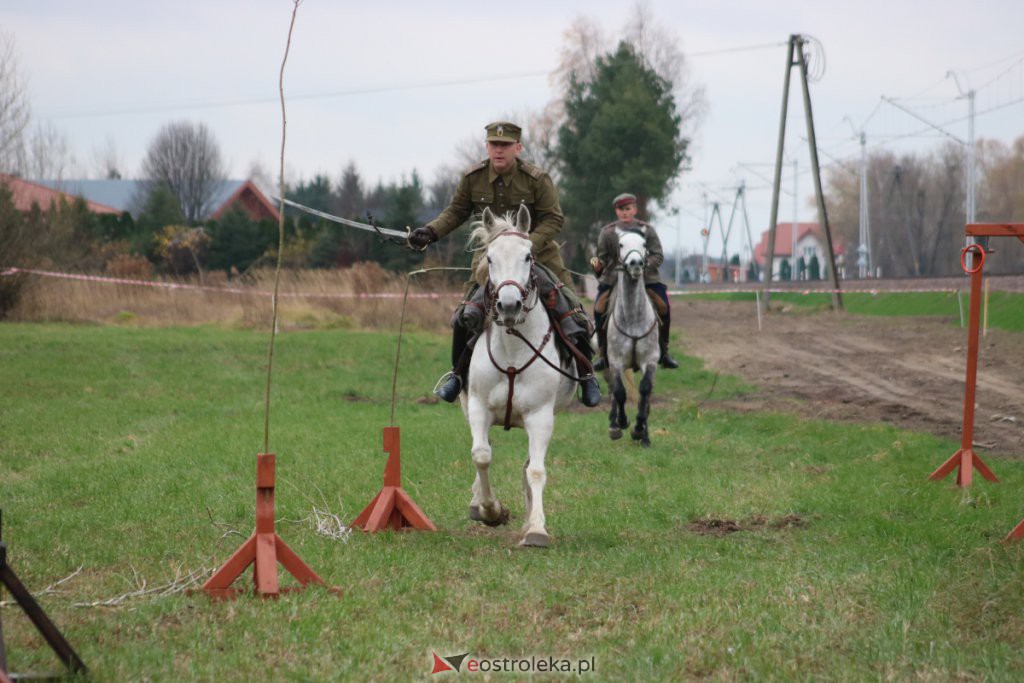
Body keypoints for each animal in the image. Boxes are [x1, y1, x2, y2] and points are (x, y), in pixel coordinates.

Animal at [462, 205, 577, 548]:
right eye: (489, 258)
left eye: (528, 256)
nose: (509, 305)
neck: (513, 346)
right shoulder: (478, 407)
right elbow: (481, 455)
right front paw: (490, 510)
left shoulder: (540, 416)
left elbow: (535, 471)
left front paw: (536, 529)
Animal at [602, 229, 659, 448]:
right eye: (621, 244)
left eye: (644, 244)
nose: (635, 264)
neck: (633, 318)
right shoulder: (616, 361)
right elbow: (619, 392)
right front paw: (622, 422)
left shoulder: (650, 360)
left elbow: (645, 389)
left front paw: (639, 429)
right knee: (612, 389)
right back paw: (614, 425)